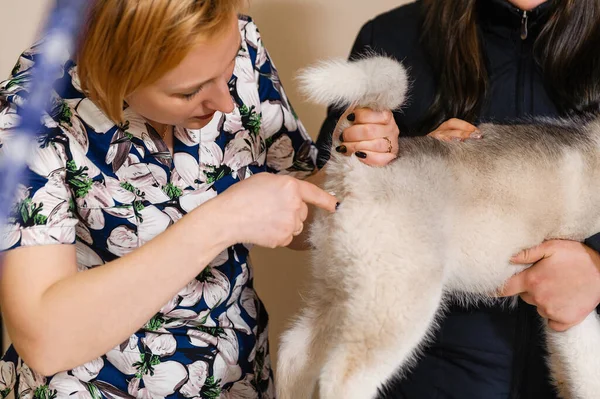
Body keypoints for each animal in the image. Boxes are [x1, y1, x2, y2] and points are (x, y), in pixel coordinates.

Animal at [278, 56, 600, 399]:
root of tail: (354, 166)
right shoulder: (567, 305)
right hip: (397, 304)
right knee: (340, 378)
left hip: (338, 290)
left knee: (293, 353)